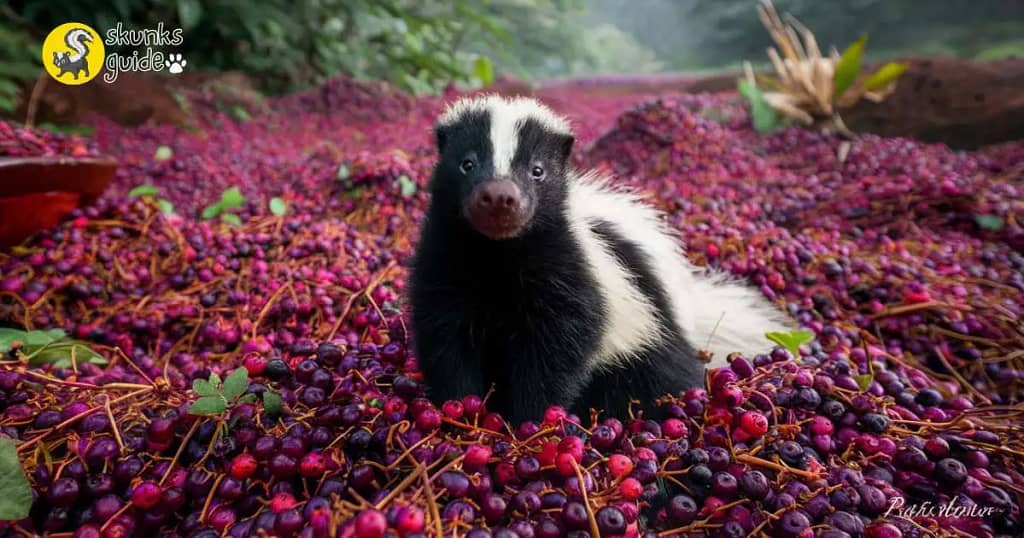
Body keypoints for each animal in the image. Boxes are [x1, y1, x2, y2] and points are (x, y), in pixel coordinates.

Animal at [407, 95, 790, 424]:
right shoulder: (445, 269)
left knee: (659, 382)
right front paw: (459, 414)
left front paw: (527, 421)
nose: (500, 196)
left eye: (537, 170)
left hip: (643, 346)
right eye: (466, 163)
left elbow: (554, 355)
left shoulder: (570, 281)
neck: (497, 256)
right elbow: (448, 345)